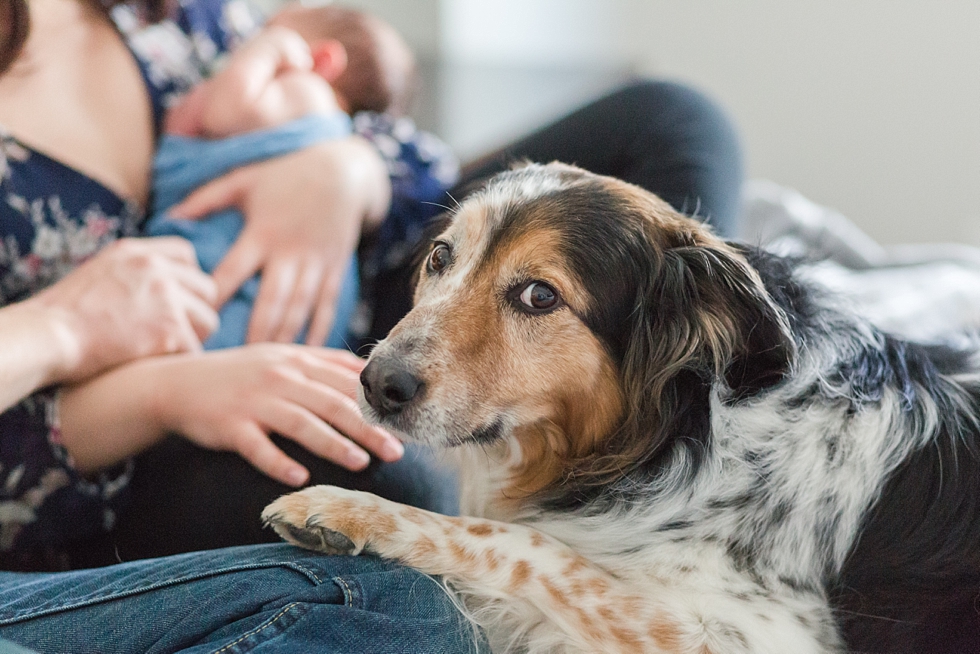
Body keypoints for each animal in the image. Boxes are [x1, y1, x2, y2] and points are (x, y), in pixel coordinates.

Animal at [260, 164, 980, 654]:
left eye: (540, 296)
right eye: (441, 257)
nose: (376, 383)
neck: (688, 430)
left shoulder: (754, 634)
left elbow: (527, 543)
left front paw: (348, 509)